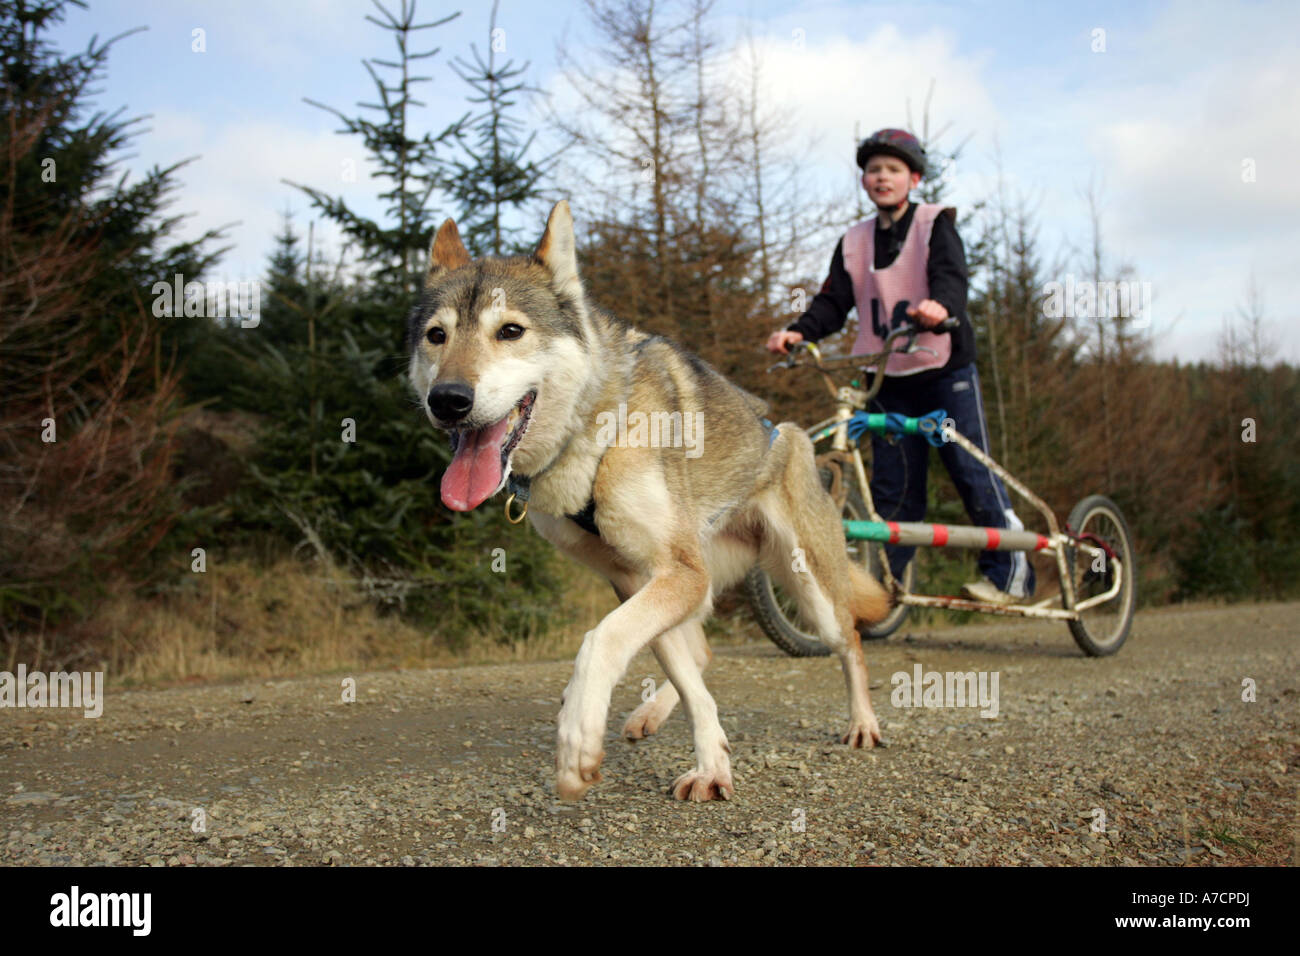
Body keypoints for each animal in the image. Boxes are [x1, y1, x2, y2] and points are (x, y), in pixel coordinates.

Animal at [408, 205, 894, 806]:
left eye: (511, 331)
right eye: (437, 336)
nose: (448, 400)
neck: (597, 434)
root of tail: (794, 436)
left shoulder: (674, 574)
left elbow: (600, 641)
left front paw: (577, 737)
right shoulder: (638, 580)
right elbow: (686, 681)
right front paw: (712, 764)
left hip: (807, 591)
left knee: (851, 643)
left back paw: (863, 723)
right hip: (705, 584)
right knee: (701, 654)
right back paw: (650, 714)